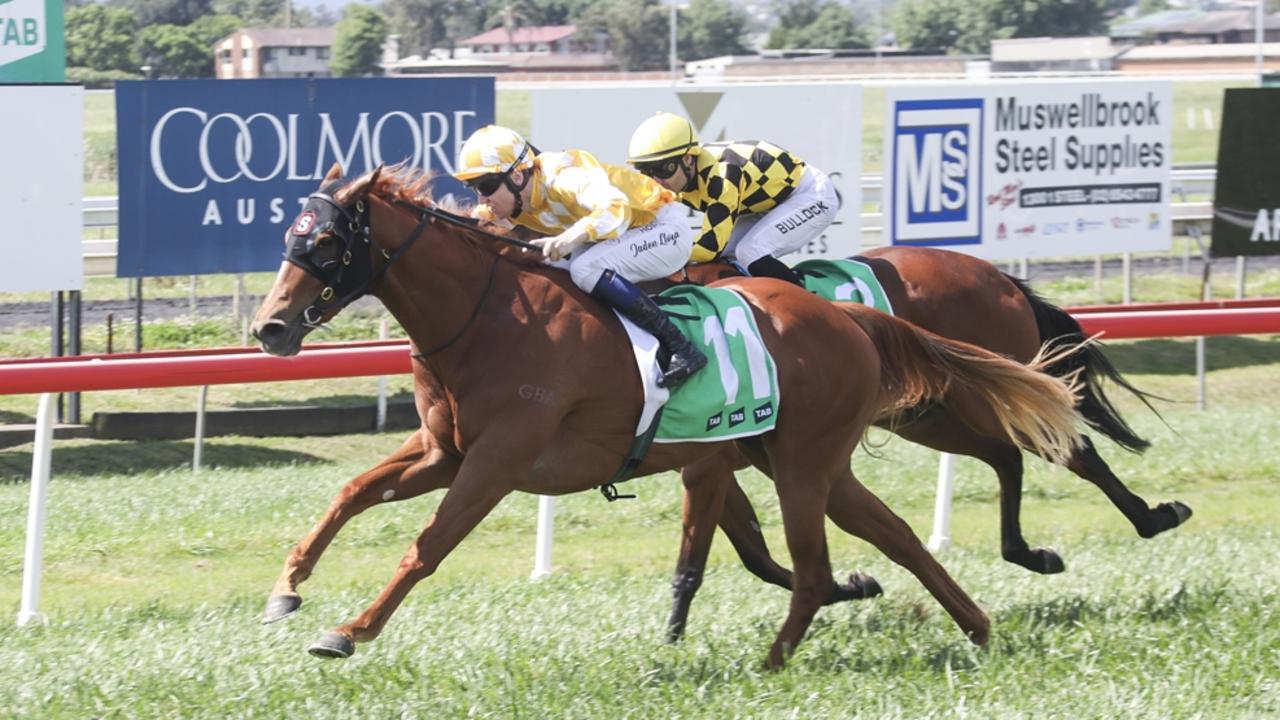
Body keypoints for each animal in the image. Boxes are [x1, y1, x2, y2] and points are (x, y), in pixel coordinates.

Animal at [249, 164, 1084, 668]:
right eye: (288, 237)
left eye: (326, 241)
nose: (269, 327)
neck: (487, 314)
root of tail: (848, 318)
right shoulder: (443, 451)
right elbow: (349, 494)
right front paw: (287, 588)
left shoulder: (498, 461)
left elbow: (426, 547)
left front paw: (348, 631)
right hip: (811, 459)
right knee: (898, 534)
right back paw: (977, 625)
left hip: (806, 462)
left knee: (825, 561)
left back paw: (775, 660)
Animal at [655, 248, 1193, 641]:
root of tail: (998, 277)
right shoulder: (709, 465)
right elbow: (752, 553)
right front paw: (848, 587)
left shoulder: (713, 461)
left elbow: (741, 552)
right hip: (927, 414)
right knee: (1007, 456)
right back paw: (1029, 551)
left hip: (989, 391)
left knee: (1071, 451)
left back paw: (1153, 518)